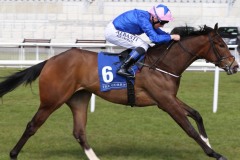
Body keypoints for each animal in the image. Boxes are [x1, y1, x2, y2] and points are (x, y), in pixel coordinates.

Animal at [0, 23, 238, 160]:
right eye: (220, 44)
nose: (234, 66)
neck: (163, 64)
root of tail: (50, 61)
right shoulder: (166, 102)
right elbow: (188, 128)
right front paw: (214, 153)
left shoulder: (168, 98)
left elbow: (197, 114)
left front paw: (208, 142)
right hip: (52, 100)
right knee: (32, 125)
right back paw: (13, 154)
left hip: (79, 99)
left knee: (79, 132)